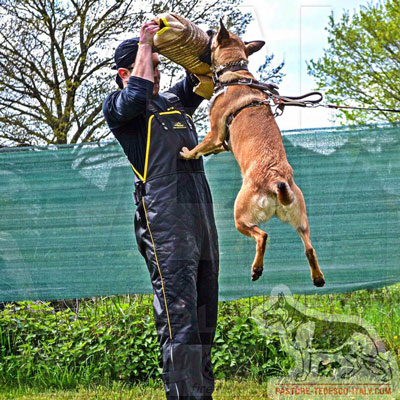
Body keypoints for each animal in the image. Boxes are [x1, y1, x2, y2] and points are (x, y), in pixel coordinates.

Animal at [180, 20, 324, 288]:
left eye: (213, 34)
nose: (207, 30)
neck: (236, 75)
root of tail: (276, 180)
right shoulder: (220, 142)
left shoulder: (214, 134)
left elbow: (199, 147)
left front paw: (186, 153)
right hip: (301, 220)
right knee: (309, 247)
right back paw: (317, 278)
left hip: (241, 216)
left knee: (262, 235)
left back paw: (257, 269)